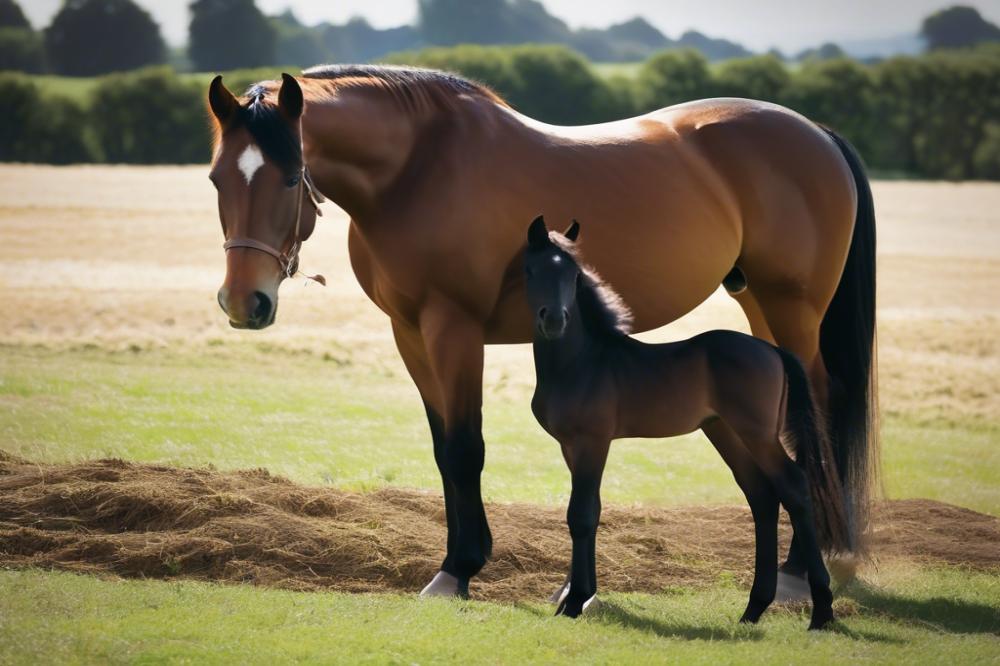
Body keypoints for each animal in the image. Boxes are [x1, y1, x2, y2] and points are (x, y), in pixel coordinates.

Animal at [524, 218, 844, 628]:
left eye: (573, 275)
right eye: (531, 270)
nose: (554, 320)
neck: (580, 361)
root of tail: (774, 351)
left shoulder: (592, 441)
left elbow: (582, 513)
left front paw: (576, 600)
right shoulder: (570, 446)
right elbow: (586, 511)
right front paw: (574, 599)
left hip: (757, 433)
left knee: (793, 485)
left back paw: (821, 611)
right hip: (724, 431)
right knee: (761, 495)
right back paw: (753, 609)